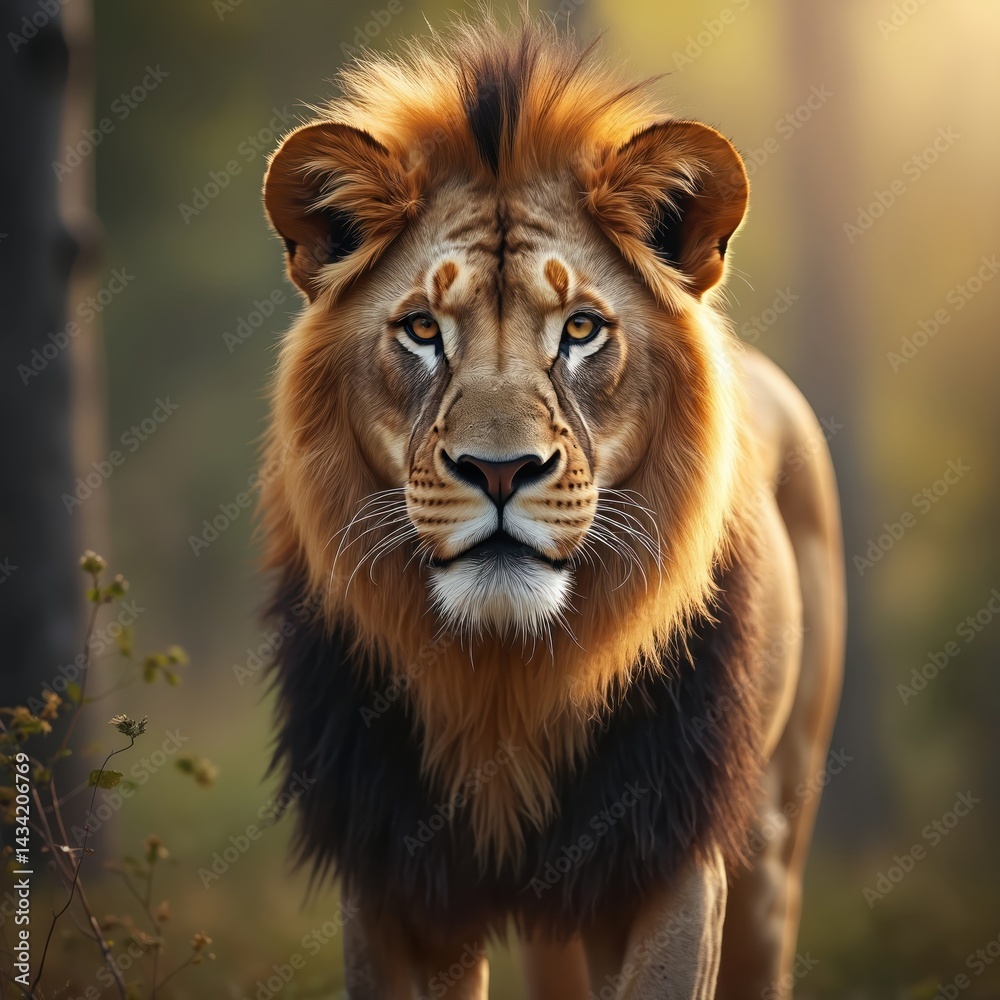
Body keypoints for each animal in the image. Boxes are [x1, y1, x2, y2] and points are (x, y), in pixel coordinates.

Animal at [258, 16, 844, 1000]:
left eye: (580, 329)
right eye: (423, 329)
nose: (500, 472)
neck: (507, 680)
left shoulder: (666, 857)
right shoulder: (394, 876)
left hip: (773, 843)